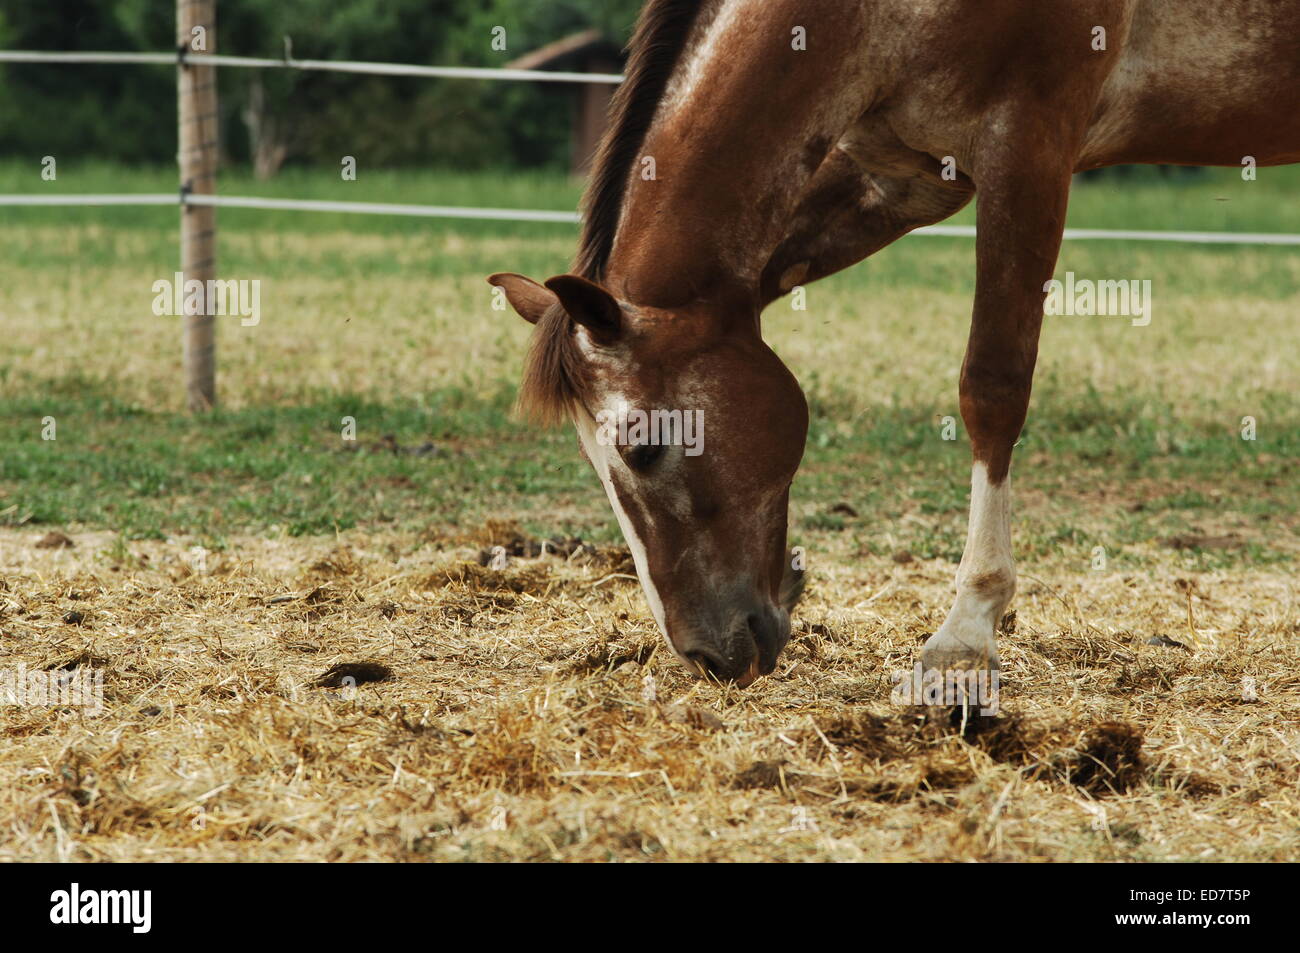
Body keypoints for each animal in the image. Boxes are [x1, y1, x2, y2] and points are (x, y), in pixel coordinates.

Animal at [490, 0, 1300, 688]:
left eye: (643, 447)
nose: (707, 655)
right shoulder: (901, 178)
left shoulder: (1027, 147)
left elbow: (992, 386)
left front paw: (967, 631)